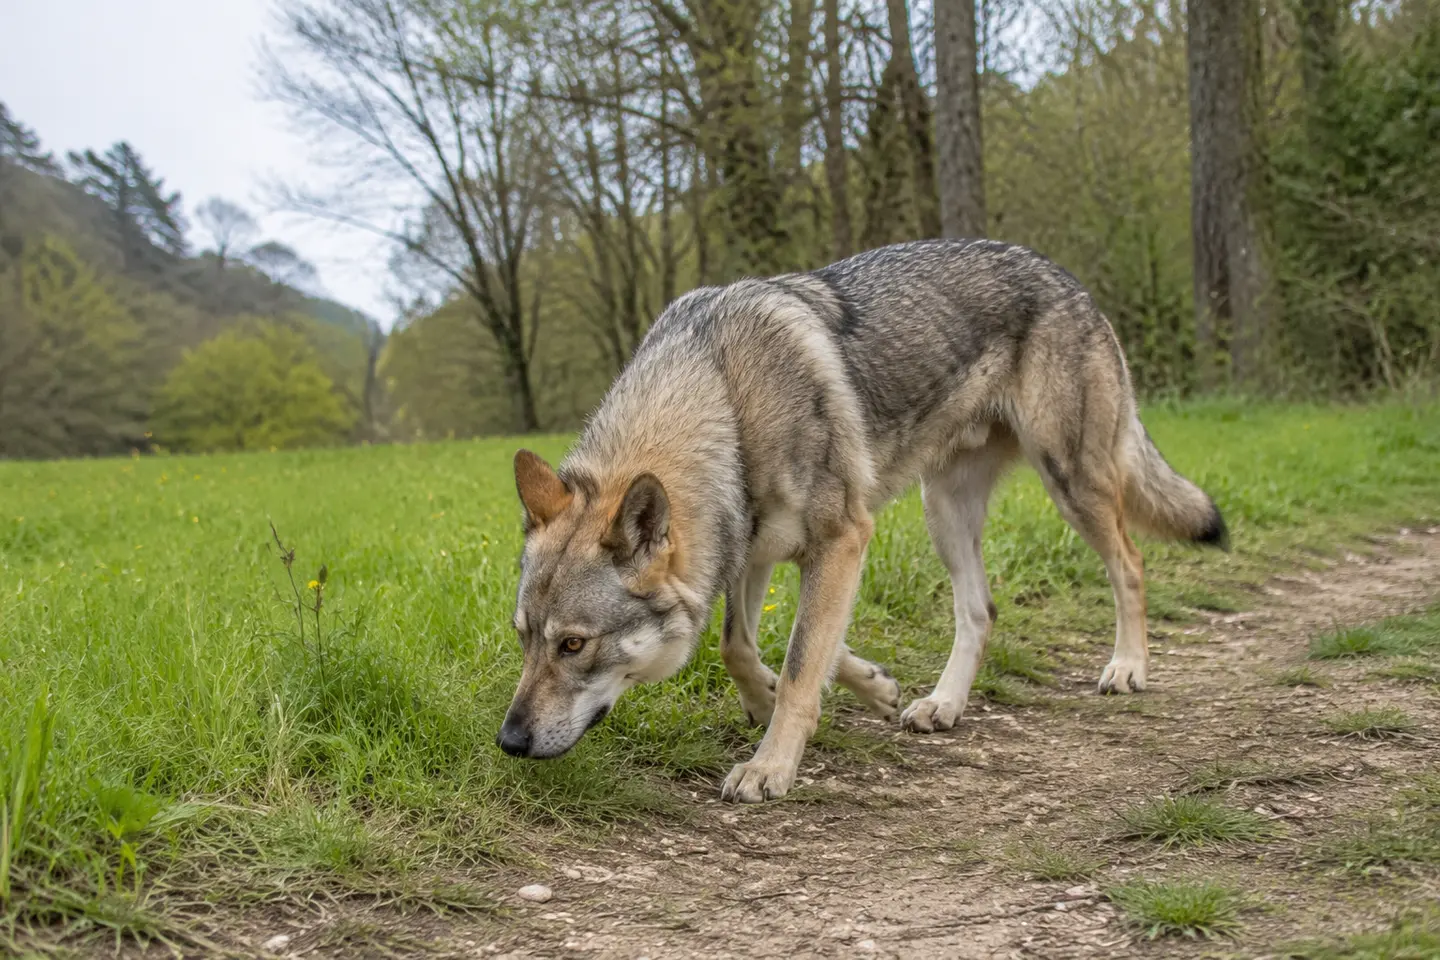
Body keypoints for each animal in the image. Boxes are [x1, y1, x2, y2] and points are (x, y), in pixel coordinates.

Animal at [497, 239, 1227, 803]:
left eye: (573, 645)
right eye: (523, 638)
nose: (507, 740)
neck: (724, 397)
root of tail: (1063, 273)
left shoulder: (842, 539)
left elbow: (798, 662)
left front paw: (771, 762)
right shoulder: (752, 549)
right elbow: (746, 647)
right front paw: (852, 688)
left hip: (1069, 482)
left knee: (1129, 563)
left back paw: (1127, 666)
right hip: (944, 513)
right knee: (980, 610)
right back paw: (943, 704)